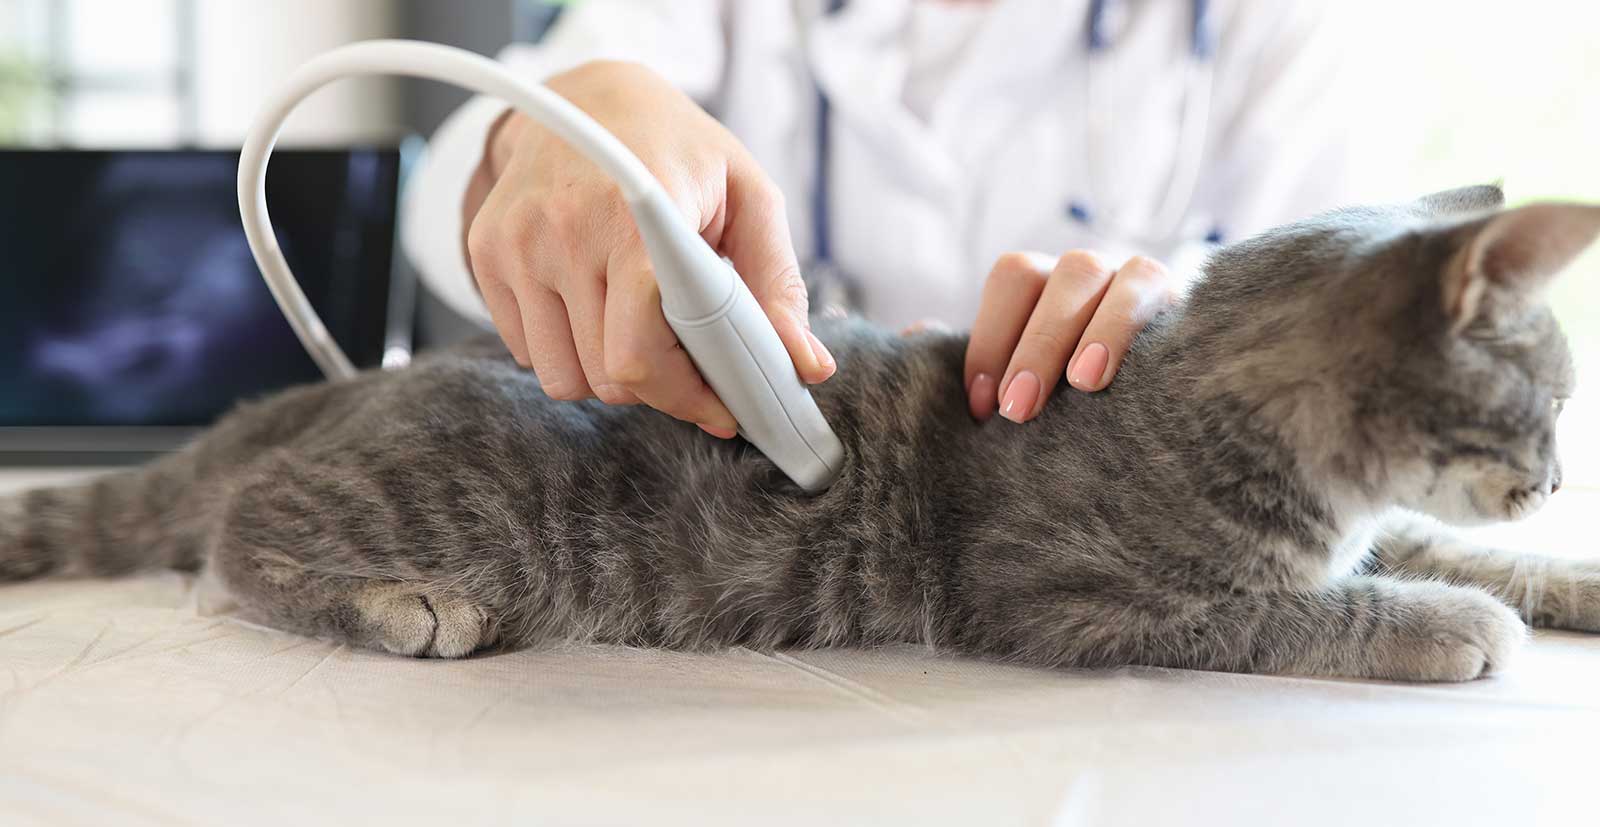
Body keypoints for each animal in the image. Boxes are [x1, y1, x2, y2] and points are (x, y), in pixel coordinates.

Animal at [3, 183, 1600, 681]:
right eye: (1551, 398)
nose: (1559, 478)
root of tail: (348, 384)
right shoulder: (1067, 599)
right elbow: (1286, 613)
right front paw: (1444, 623)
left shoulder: (1368, 522)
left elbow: (1433, 540)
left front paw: (1557, 577)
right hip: (457, 508)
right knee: (235, 536)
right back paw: (401, 605)